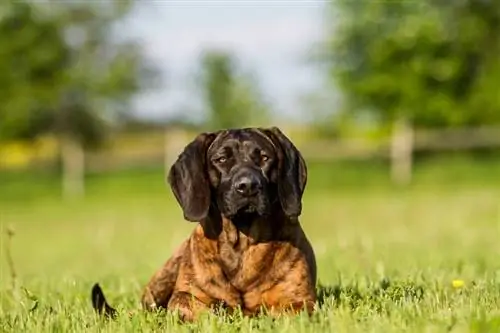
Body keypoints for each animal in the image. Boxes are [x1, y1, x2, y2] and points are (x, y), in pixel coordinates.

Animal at [91, 126, 316, 320]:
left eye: (264, 158)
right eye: (221, 159)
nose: (248, 186)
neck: (240, 242)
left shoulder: (300, 302)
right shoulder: (187, 294)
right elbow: (191, 303)